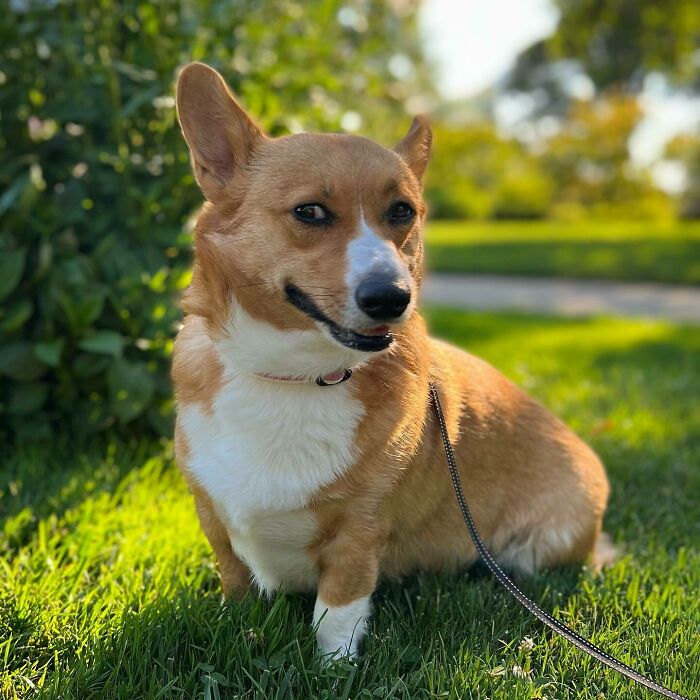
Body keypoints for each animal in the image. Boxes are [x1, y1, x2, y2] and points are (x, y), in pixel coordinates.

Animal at [172, 63, 608, 660]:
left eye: (402, 211)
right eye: (310, 211)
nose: (392, 298)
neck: (298, 375)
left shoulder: (361, 526)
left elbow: (338, 606)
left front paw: (333, 666)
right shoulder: (212, 513)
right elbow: (235, 577)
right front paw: (236, 624)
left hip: (535, 549)